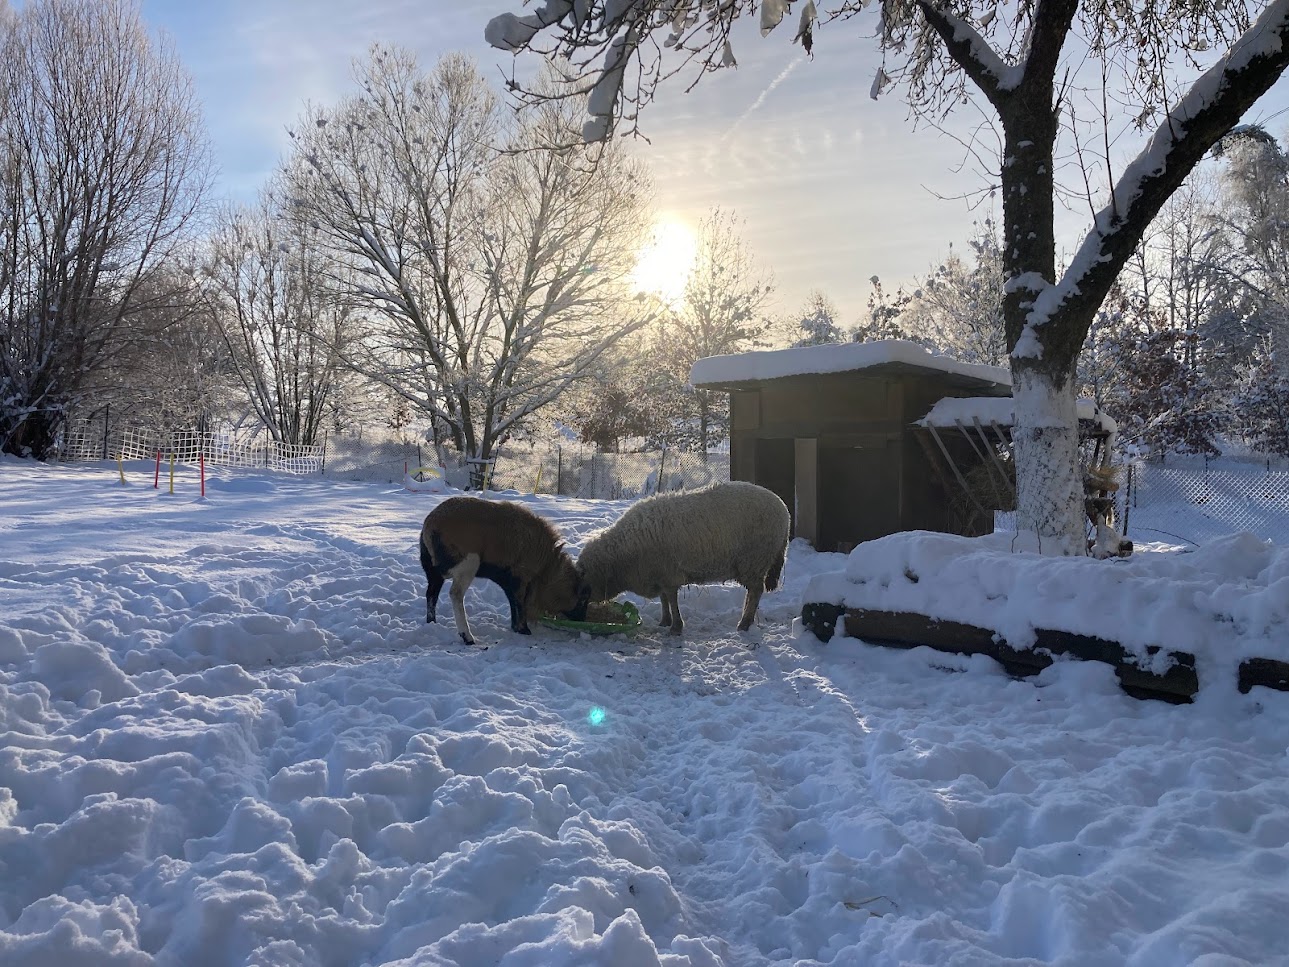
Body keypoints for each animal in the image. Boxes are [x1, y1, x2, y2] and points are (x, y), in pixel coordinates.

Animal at [577, 482, 794, 636]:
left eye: (584, 587)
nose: (579, 615)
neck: (623, 558)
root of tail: (785, 511)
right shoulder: (660, 574)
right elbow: (665, 599)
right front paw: (664, 622)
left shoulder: (668, 573)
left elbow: (671, 599)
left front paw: (675, 627)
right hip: (754, 563)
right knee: (753, 592)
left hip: (754, 560)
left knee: (756, 592)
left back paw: (744, 623)